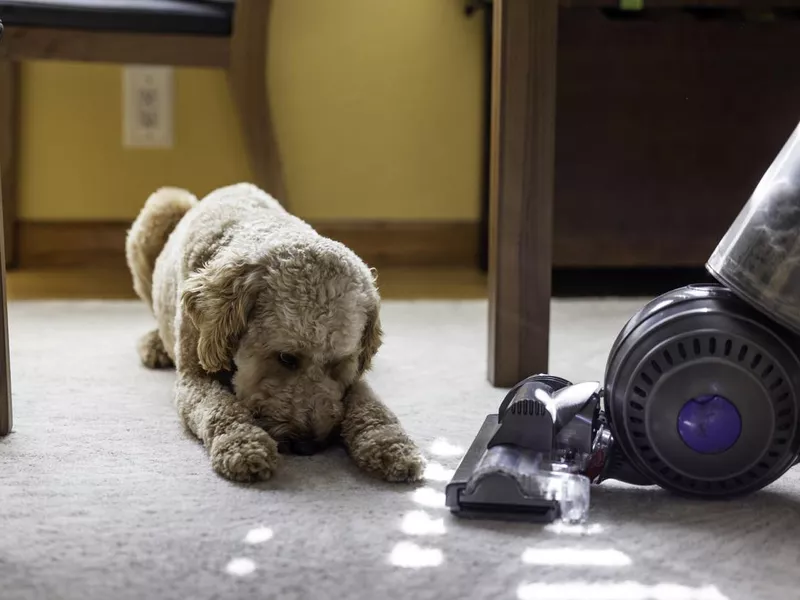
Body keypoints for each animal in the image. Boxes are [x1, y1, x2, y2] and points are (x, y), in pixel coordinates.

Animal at [125, 182, 424, 482]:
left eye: (338, 363)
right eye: (286, 358)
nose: (308, 446)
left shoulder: (353, 380)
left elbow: (371, 405)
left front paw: (390, 444)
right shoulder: (193, 378)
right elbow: (220, 408)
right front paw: (243, 444)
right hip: (162, 208)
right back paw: (156, 344)